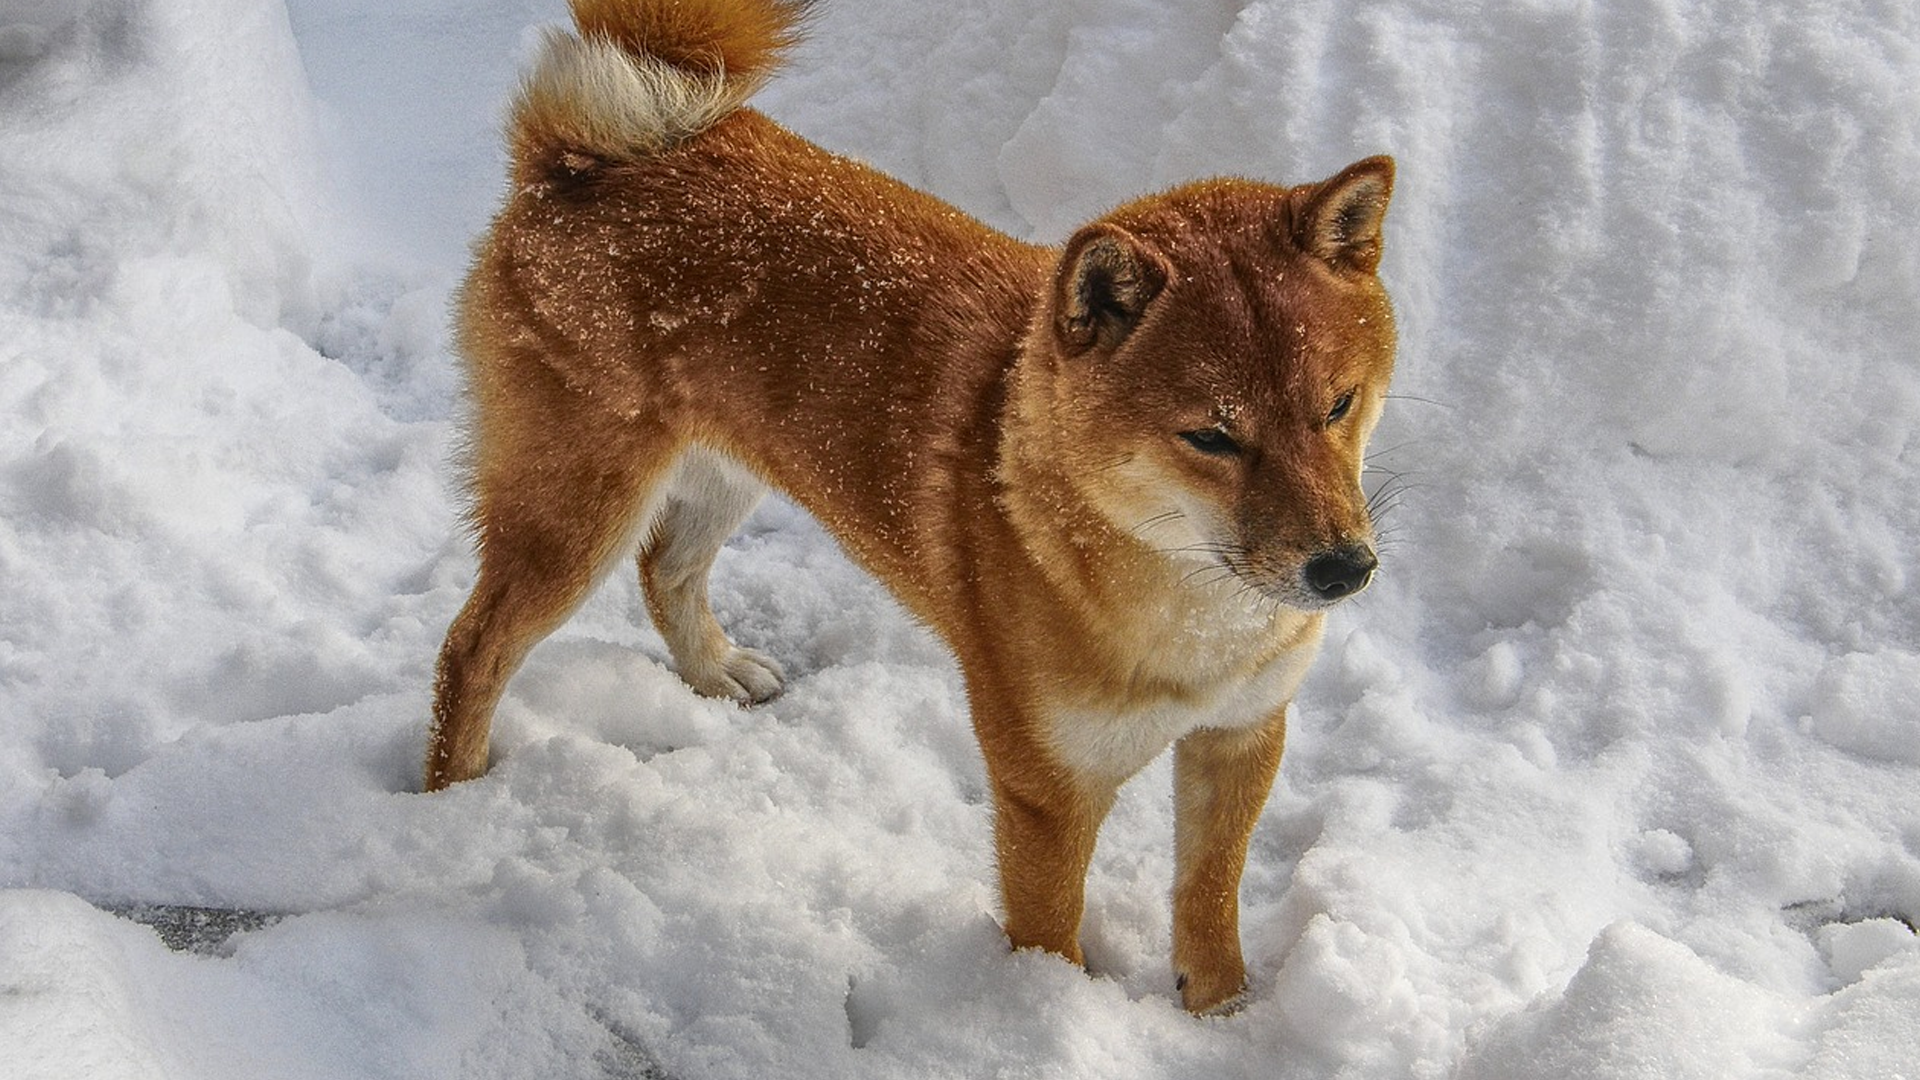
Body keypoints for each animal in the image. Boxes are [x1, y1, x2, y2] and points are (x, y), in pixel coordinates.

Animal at [432, 0, 1397, 1014]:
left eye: (1338, 405)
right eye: (1212, 437)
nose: (1345, 568)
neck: (1193, 615)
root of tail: (593, 151)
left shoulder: (1242, 734)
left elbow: (1209, 896)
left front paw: (1220, 1009)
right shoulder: (1046, 785)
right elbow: (1050, 932)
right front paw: (1040, 1013)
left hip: (724, 469)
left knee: (667, 571)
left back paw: (716, 671)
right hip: (577, 510)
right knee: (475, 648)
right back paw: (454, 797)